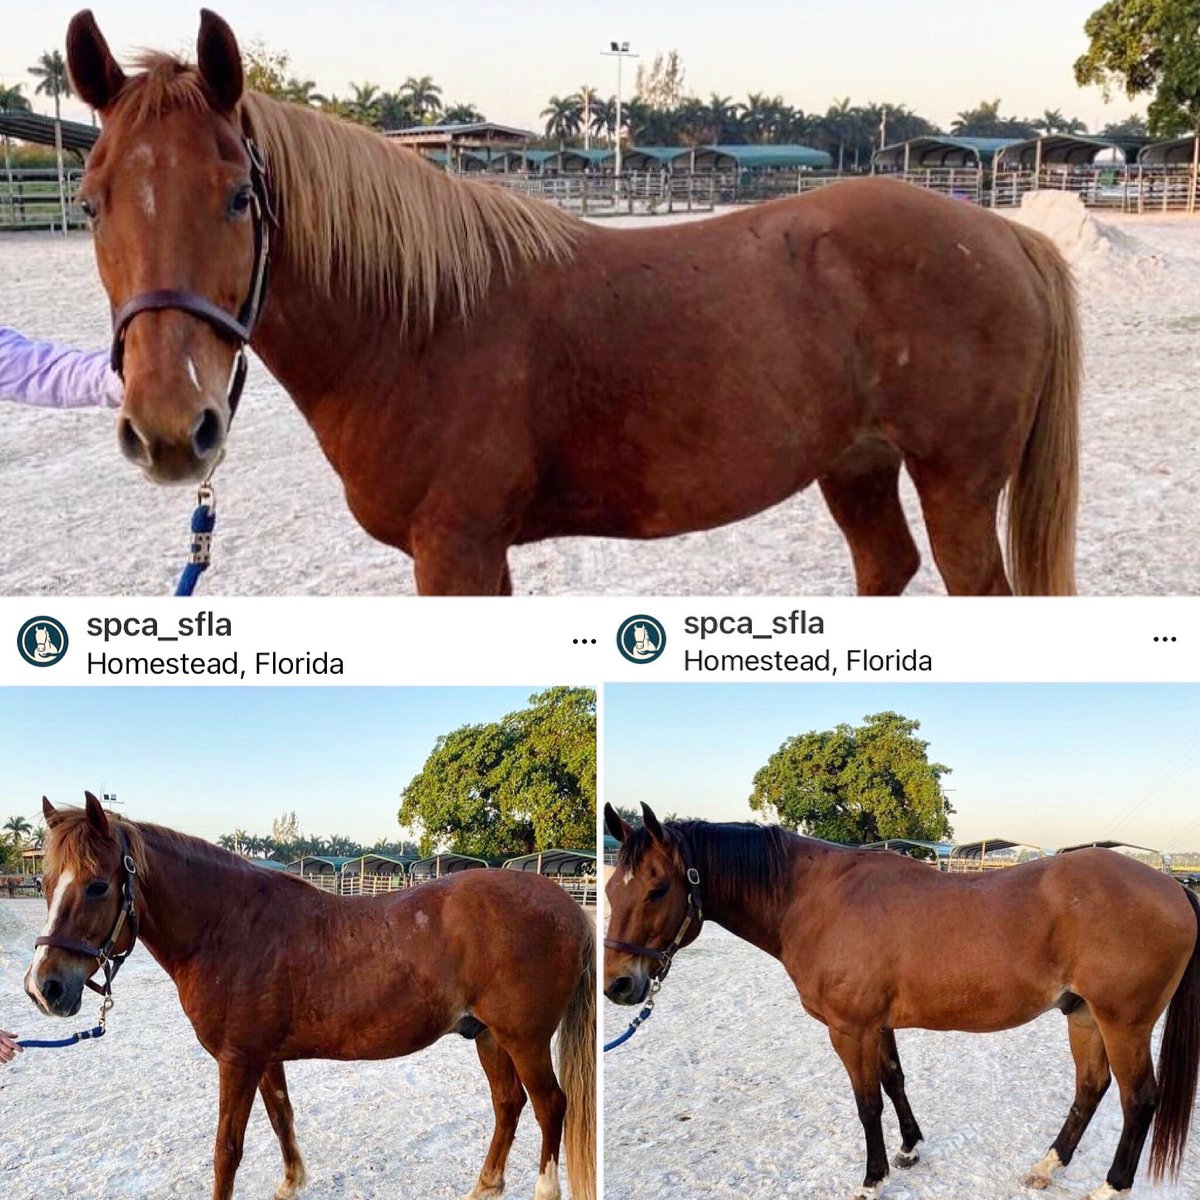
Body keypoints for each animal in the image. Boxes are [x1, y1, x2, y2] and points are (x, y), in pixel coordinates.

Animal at [25, 794, 596, 1200]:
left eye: (98, 886)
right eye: (45, 882)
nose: (44, 988)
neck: (228, 927)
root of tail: (567, 904)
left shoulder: (238, 1060)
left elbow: (226, 1151)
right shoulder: (264, 1057)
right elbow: (282, 1117)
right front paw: (291, 1183)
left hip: (524, 1040)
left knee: (550, 1106)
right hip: (488, 1037)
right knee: (508, 1104)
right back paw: (484, 1186)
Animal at [63, 9, 1078, 596]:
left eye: (239, 197)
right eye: (91, 200)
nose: (170, 428)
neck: (417, 326)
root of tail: (1002, 237)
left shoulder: (460, 552)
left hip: (956, 486)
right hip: (857, 465)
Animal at [603, 803, 1200, 1200]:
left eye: (658, 889)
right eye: (610, 891)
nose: (618, 986)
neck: (815, 899)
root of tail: (1174, 886)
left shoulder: (849, 1028)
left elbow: (867, 1101)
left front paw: (873, 1178)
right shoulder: (877, 1024)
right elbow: (894, 1081)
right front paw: (910, 1149)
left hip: (1123, 1022)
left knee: (1139, 1099)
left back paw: (1111, 1187)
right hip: (1083, 1015)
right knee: (1091, 1088)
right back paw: (1047, 1167)